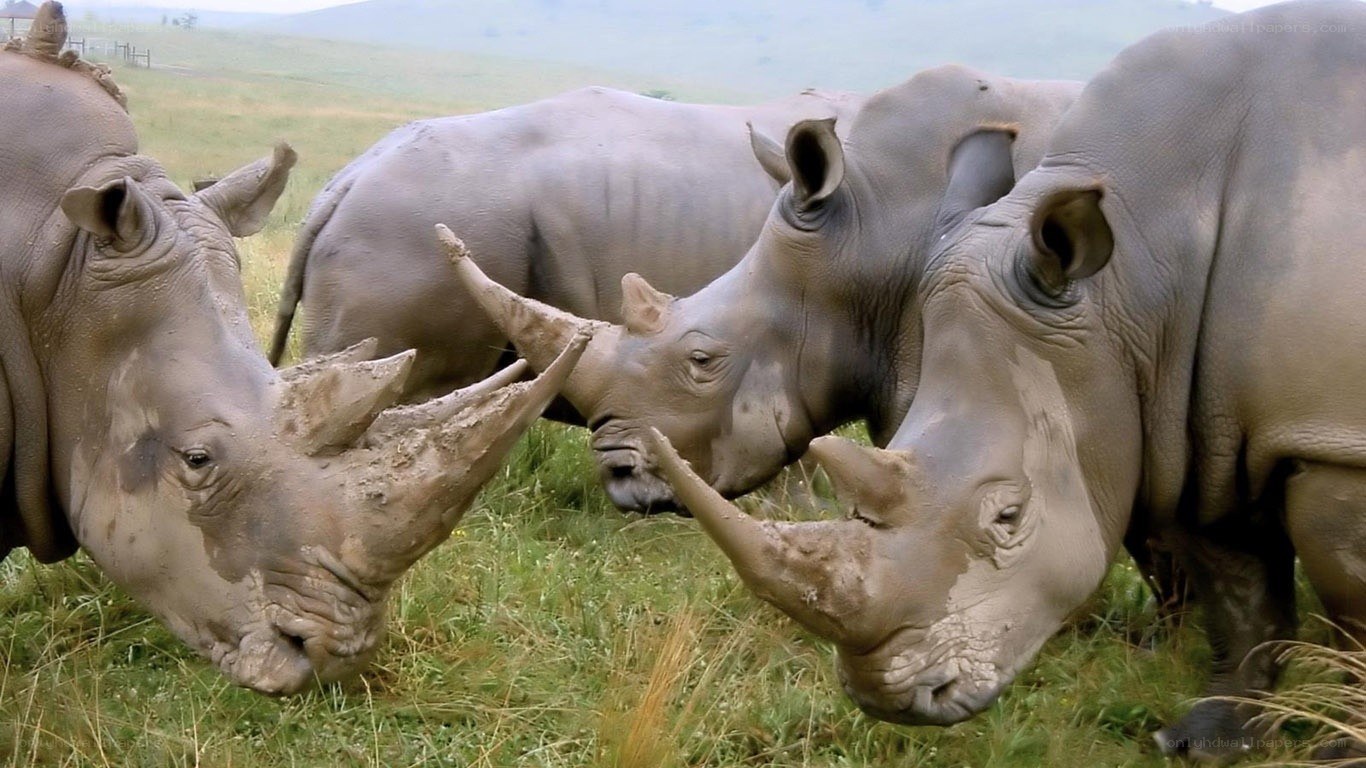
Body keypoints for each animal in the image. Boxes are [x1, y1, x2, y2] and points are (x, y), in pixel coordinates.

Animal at [646, 0, 1366, 761]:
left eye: (1009, 517)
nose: (891, 698)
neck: (1136, 279)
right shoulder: (1189, 418)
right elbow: (1239, 588)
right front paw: (1201, 741)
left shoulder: (1328, 437)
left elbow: (1350, 597)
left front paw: (1340, 748)